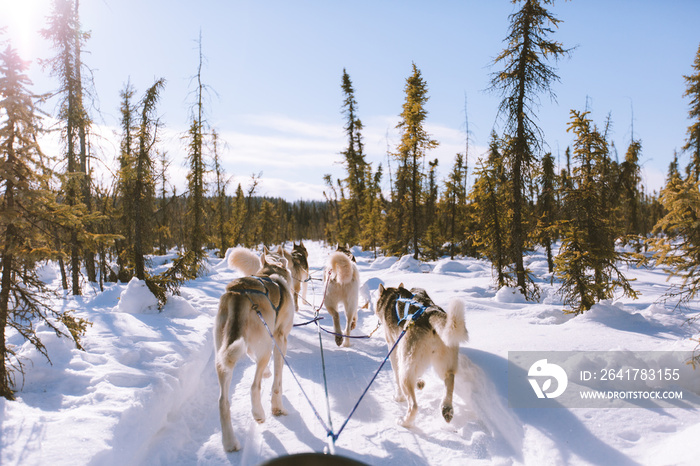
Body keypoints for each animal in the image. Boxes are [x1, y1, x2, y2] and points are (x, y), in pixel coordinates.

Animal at [215, 251, 294, 452]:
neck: (269, 273)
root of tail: (239, 291)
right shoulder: (280, 339)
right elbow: (277, 382)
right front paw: (278, 408)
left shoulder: (256, 342)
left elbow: (253, 357)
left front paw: (267, 373)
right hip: (266, 347)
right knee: (254, 386)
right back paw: (258, 413)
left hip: (224, 355)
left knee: (223, 402)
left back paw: (230, 442)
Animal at [374, 282, 468, 428]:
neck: (393, 295)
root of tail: (429, 314)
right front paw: (419, 382)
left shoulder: (393, 348)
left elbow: (395, 374)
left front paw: (399, 397)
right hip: (445, 362)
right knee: (450, 378)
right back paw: (446, 408)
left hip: (406, 371)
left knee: (413, 406)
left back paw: (404, 421)